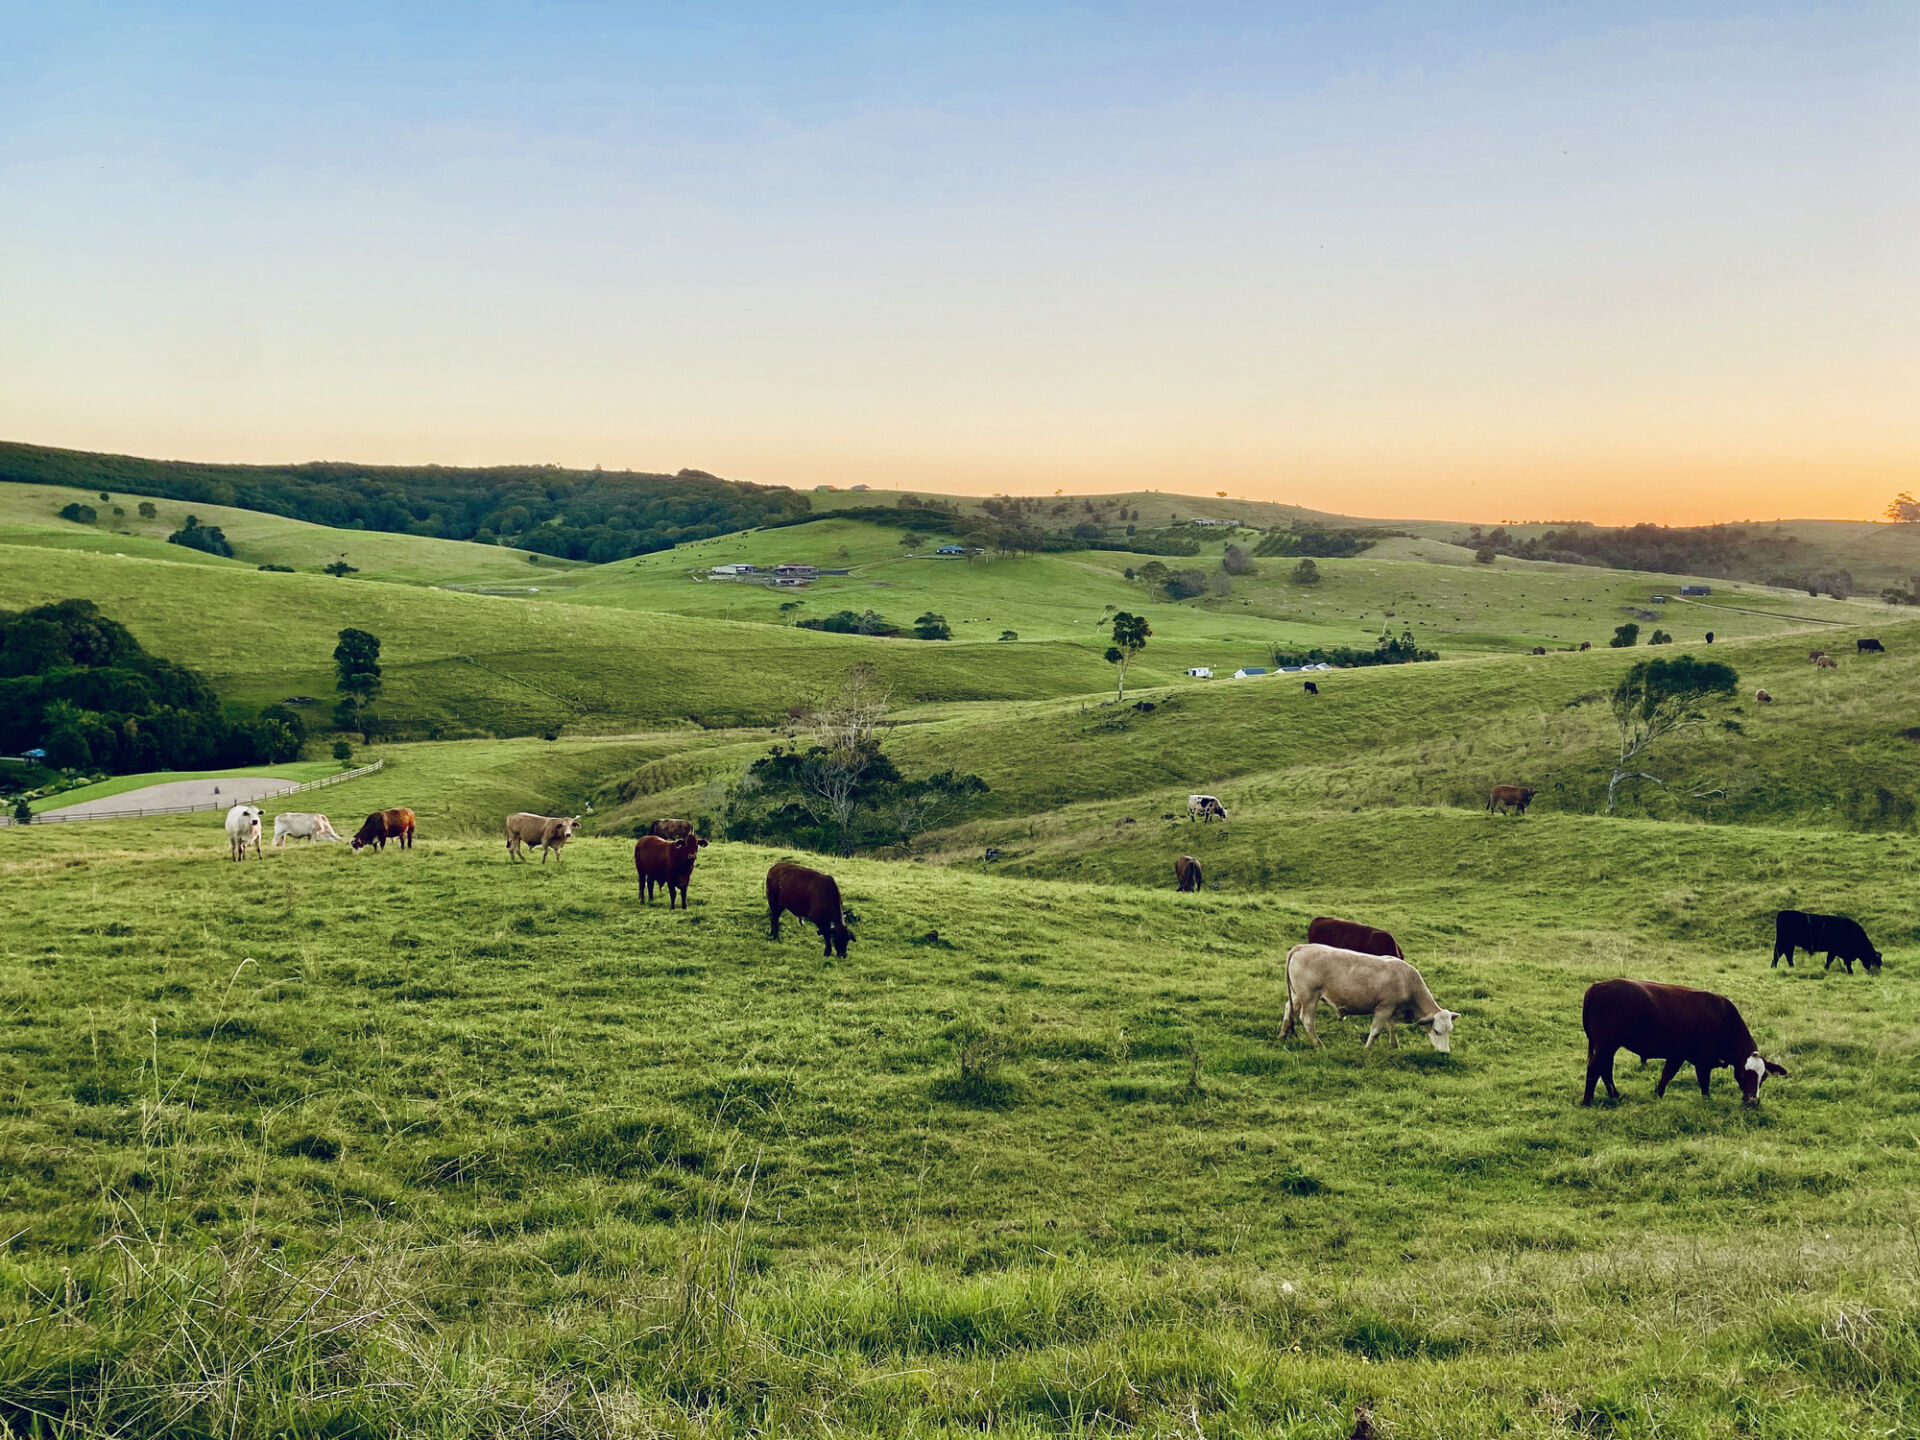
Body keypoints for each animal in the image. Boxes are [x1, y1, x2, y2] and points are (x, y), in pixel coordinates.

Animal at [1282, 940, 1459, 1052]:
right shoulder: (1384, 1008)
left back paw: (1282, 1035)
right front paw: (1367, 1049)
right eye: (1436, 1031)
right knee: (1307, 1020)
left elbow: (1392, 1028)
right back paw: (1318, 1045)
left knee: (1289, 1008)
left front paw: (1394, 1046)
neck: (1406, 981)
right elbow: (1375, 1031)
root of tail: (1301, 947)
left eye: (1450, 1030)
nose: (1445, 1052)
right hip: (1309, 997)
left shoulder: (1393, 1010)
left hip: (1297, 995)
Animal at [1574, 983, 1781, 1113]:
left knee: (1605, 1068)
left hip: (1608, 1046)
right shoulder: (1695, 1059)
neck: (1722, 1018)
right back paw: (1587, 1102)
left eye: (1763, 1077)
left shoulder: (1684, 1057)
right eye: (1745, 1074)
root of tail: (1598, 986)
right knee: (1595, 1069)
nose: (1753, 1101)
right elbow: (1696, 1081)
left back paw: (1614, 1096)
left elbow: (1672, 1077)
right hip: (1606, 1044)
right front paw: (1706, 1101)